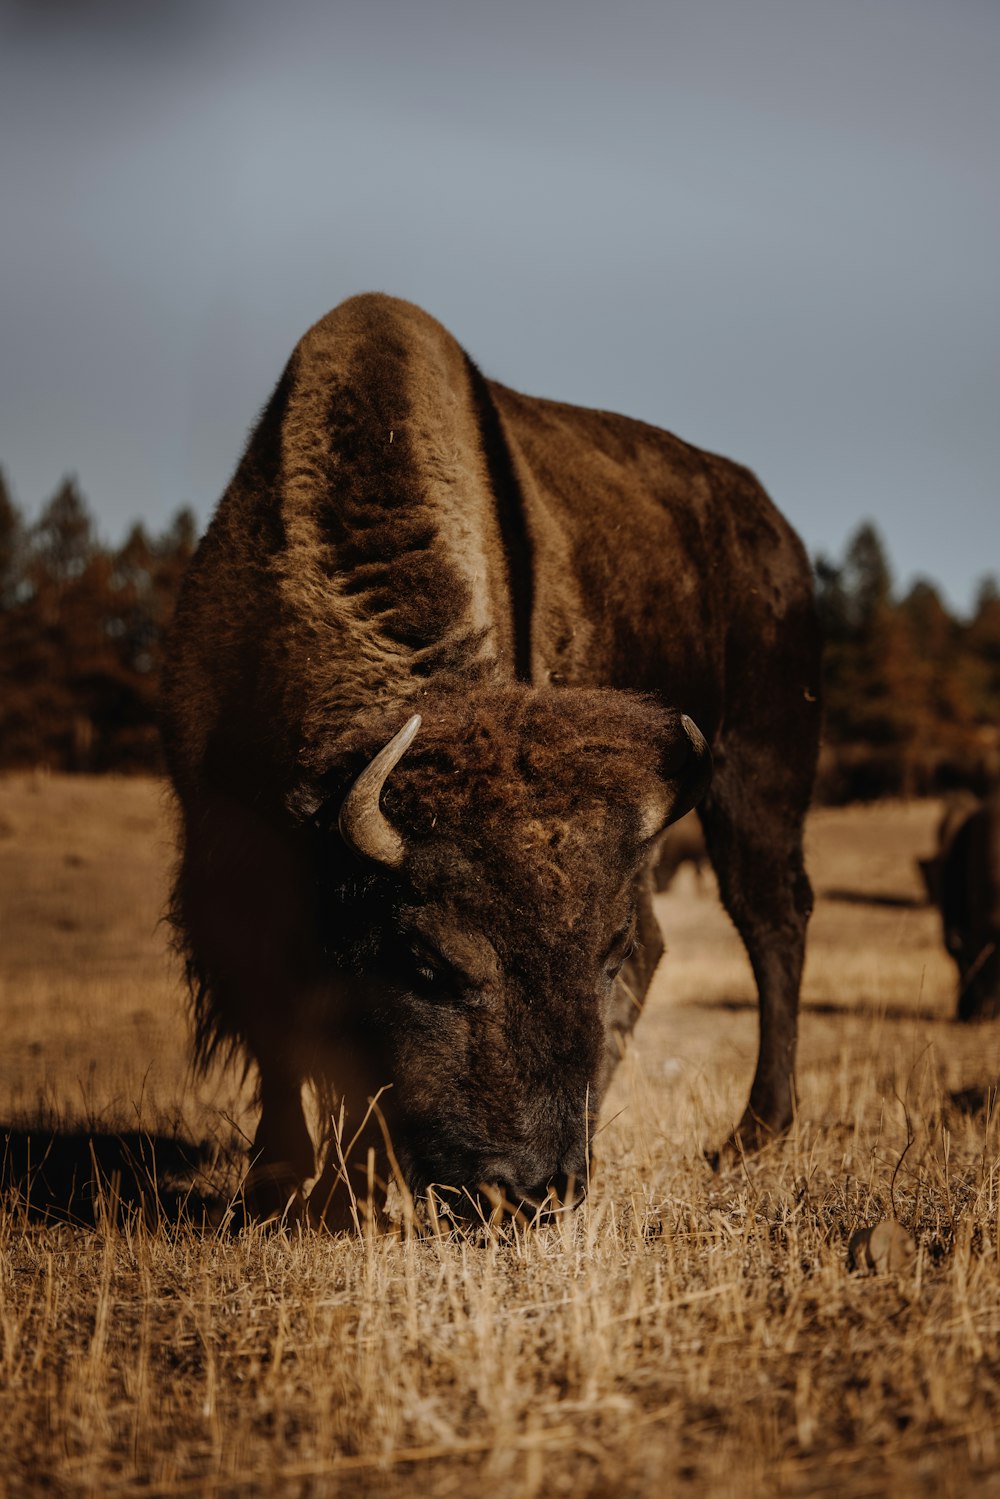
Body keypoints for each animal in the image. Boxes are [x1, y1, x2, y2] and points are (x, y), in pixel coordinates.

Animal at [162, 292, 821, 1229]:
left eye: (599, 951)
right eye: (428, 961)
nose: (534, 1190)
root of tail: (780, 540)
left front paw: (344, 1186)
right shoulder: (222, 845)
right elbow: (276, 1016)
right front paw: (287, 1181)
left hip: (758, 779)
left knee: (771, 921)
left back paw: (751, 1134)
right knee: (687, 942)